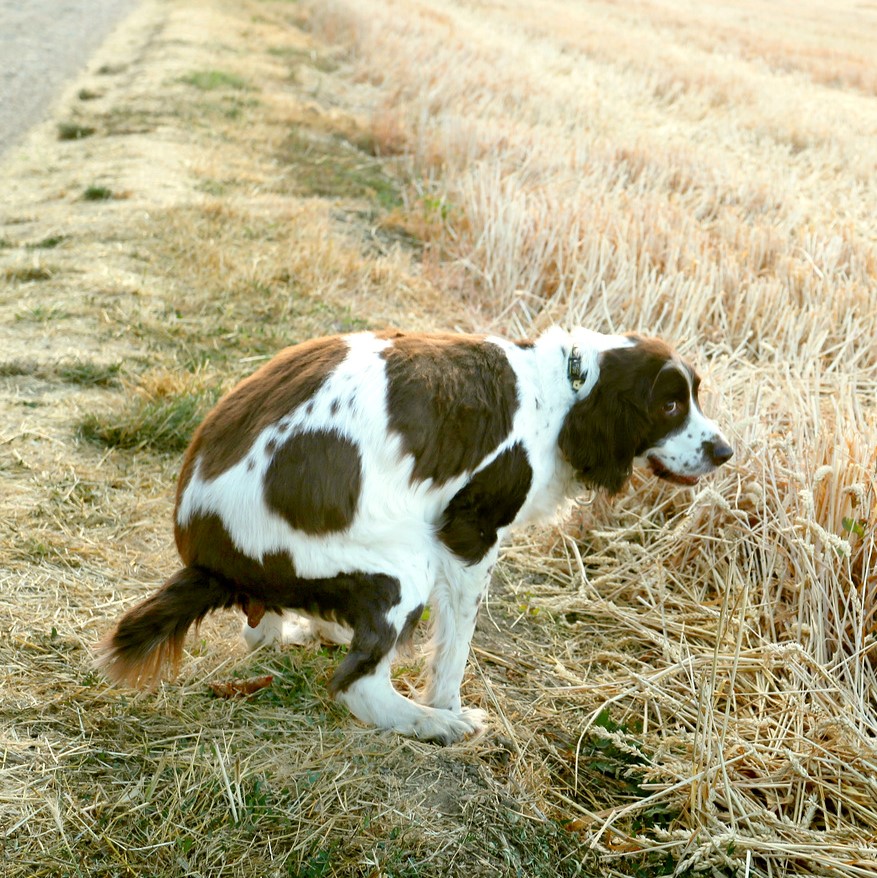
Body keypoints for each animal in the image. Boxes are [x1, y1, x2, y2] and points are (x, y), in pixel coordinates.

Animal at [99, 326, 732, 744]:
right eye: (669, 404)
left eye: (695, 394)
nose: (726, 451)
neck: (564, 389)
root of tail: (207, 554)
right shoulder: (469, 534)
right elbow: (456, 645)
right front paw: (449, 706)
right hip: (407, 564)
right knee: (355, 684)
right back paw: (431, 723)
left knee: (264, 633)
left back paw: (318, 627)